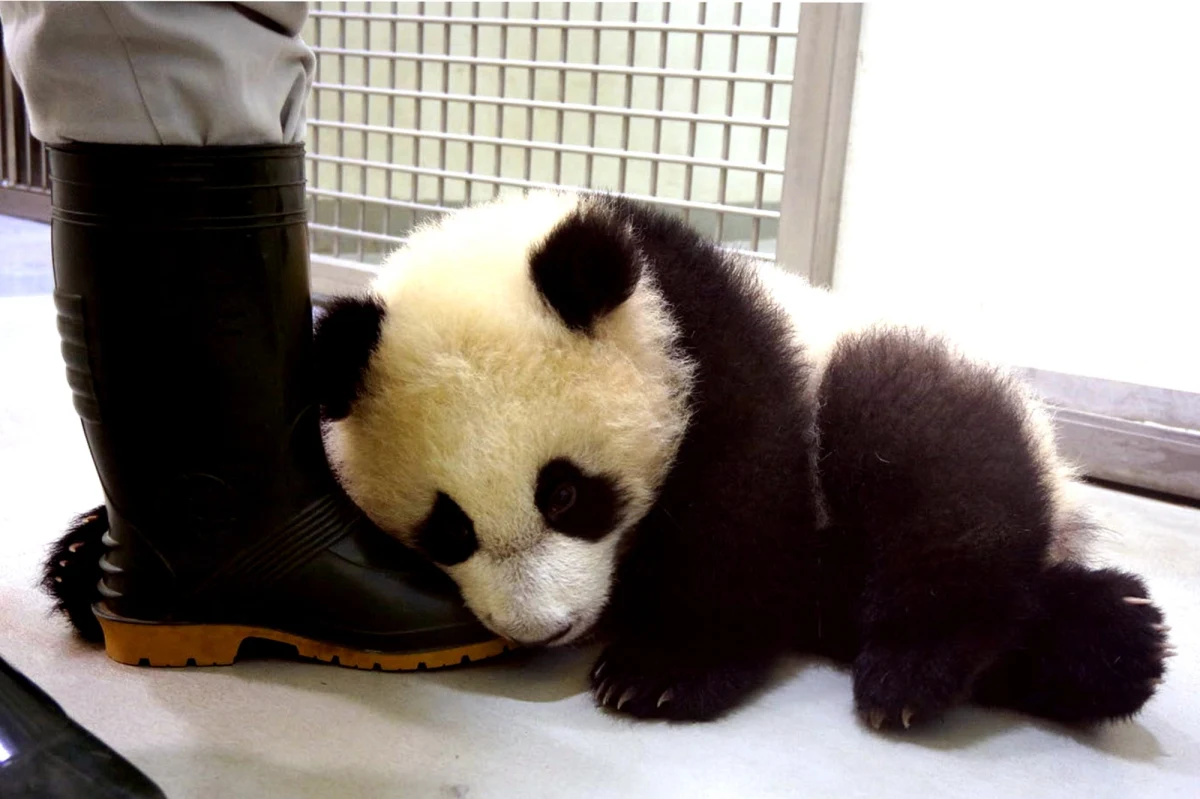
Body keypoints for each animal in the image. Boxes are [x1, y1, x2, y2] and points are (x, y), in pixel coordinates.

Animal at [311, 190, 1171, 729]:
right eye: (448, 529)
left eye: (565, 494)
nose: (545, 627)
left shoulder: (717, 351)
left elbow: (741, 511)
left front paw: (660, 671)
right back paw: (1112, 642)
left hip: (901, 393)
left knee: (927, 446)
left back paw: (918, 667)